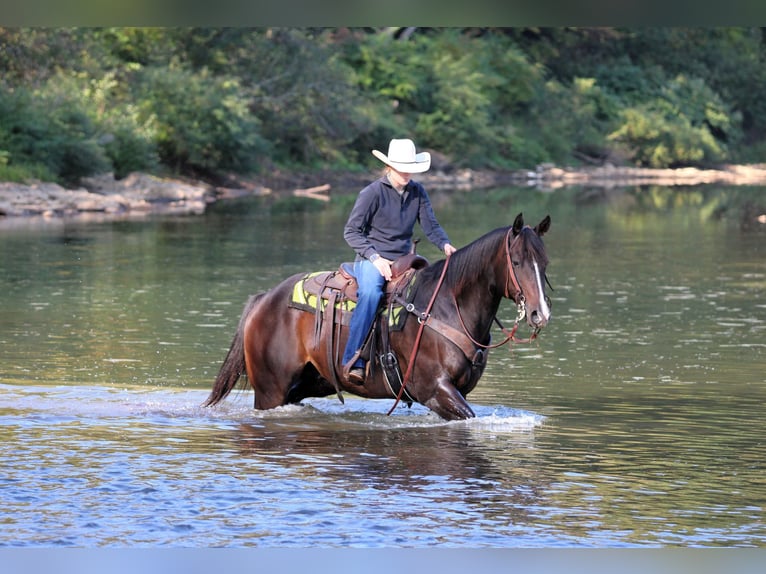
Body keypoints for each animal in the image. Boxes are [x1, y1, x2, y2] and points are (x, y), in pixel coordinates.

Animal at [204, 213, 551, 421]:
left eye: (545, 262)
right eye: (517, 262)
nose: (540, 314)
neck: (447, 308)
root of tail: (264, 300)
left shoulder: (455, 393)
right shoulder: (436, 390)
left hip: (307, 384)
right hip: (269, 391)